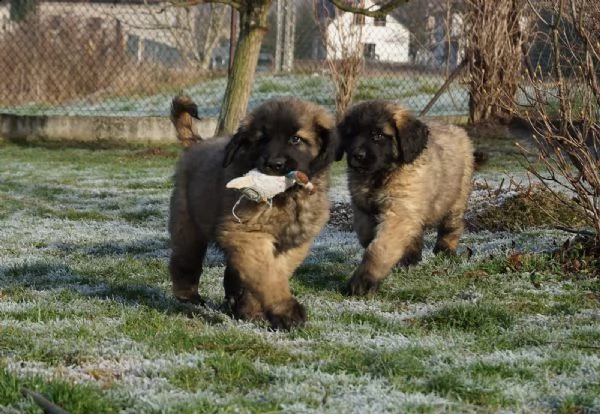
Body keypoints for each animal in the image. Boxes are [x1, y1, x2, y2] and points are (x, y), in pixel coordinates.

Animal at [169, 95, 338, 328]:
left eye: (296, 139)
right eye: (262, 139)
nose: (274, 164)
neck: (287, 197)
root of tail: (198, 143)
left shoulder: (294, 243)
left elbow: (273, 272)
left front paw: (252, 310)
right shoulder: (248, 234)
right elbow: (268, 274)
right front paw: (286, 310)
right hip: (188, 223)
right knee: (186, 260)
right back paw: (188, 295)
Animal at [338, 99, 474, 294]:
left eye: (377, 135)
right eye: (351, 135)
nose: (357, 155)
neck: (380, 175)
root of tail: (456, 129)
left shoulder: (399, 210)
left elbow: (380, 247)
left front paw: (364, 280)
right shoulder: (362, 207)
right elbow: (366, 235)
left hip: (456, 197)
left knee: (452, 225)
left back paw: (445, 250)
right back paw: (411, 256)